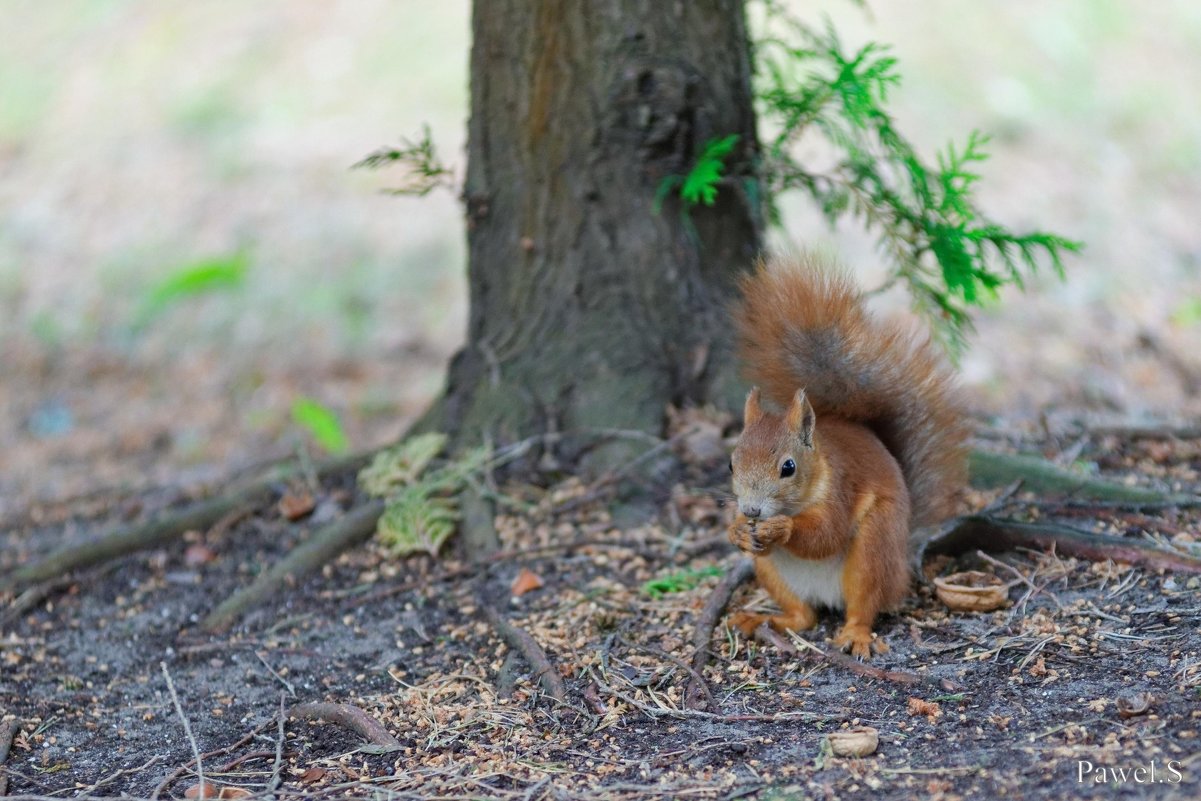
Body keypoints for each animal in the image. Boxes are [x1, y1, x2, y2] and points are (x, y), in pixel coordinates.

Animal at [720, 256, 965, 658]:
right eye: (731, 463)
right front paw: (737, 529)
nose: (752, 510)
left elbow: (827, 534)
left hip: (872, 548)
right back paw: (762, 620)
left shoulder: (842, 489)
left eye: (788, 467)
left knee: (863, 606)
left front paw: (781, 529)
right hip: (771, 571)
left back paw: (856, 635)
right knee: (804, 617)